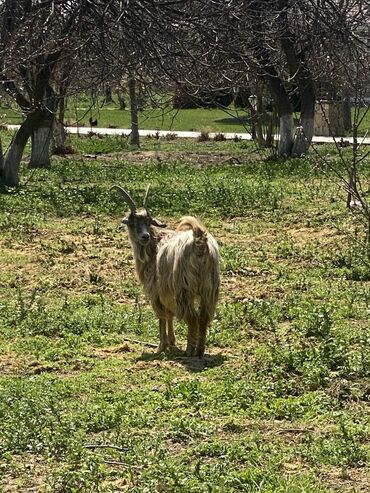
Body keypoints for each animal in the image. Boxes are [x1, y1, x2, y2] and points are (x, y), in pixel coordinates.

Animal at [113, 185, 220, 358]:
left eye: (148, 221)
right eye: (133, 222)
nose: (145, 236)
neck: (154, 244)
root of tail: (199, 238)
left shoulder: (155, 290)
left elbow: (162, 316)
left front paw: (161, 346)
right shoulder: (166, 292)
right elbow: (169, 314)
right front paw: (172, 341)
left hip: (184, 288)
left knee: (192, 317)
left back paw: (189, 350)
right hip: (209, 287)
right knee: (204, 316)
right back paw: (200, 350)